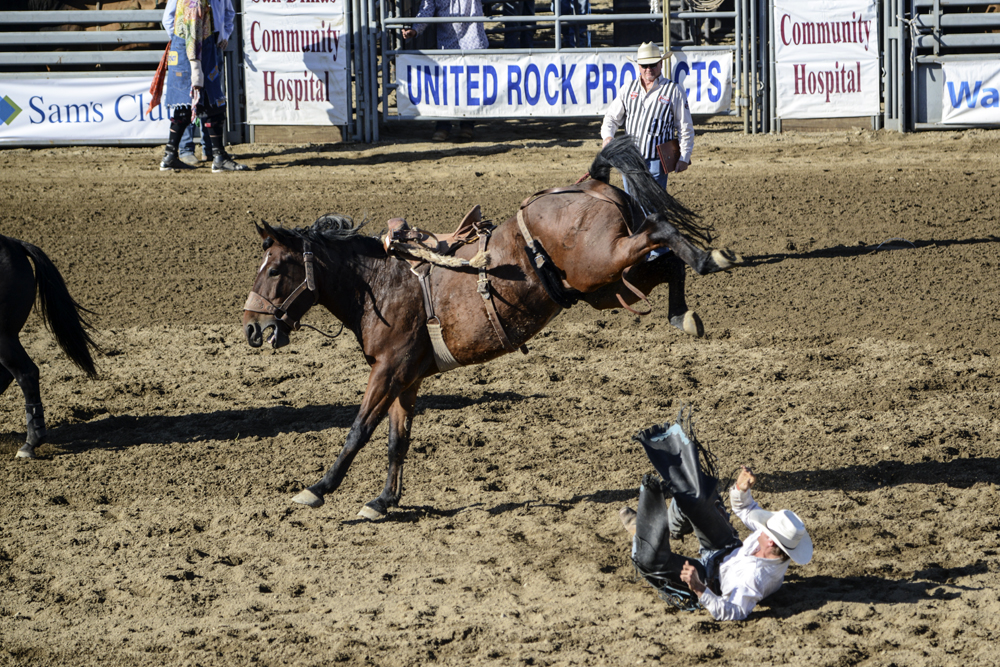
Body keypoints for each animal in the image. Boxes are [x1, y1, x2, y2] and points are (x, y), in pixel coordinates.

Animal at [240, 137, 744, 520]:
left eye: (275, 269)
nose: (251, 328)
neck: (380, 283)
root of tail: (587, 182)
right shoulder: (407, 377)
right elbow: (397, 441)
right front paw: (383, 500)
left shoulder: (387, 370)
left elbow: (359, 430)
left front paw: (318, 488)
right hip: (604, 283)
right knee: (667, 264)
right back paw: (685, 311)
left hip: (602, 263)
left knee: (660, 229)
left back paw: (711, 258)